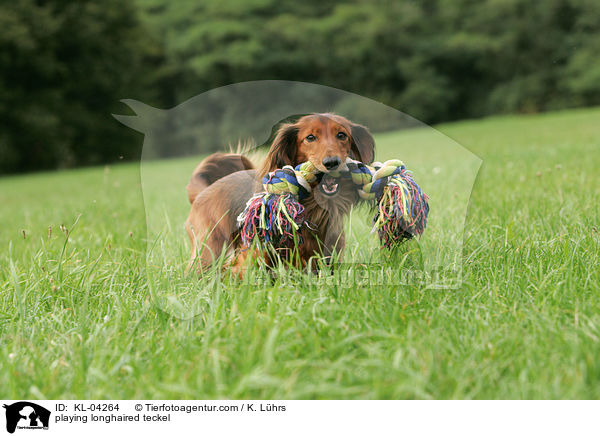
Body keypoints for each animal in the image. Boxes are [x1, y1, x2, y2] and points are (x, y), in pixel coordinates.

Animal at [188, 113, 376, 276]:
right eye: (310, 138)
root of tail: (202, 192)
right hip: (210, 247)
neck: (311, 208)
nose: (331, 163)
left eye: (341, 135)